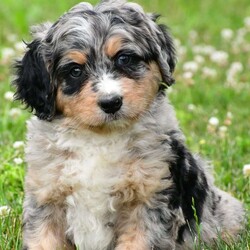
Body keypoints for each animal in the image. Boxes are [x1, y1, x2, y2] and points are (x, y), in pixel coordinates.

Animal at [13, 0, 244, 250]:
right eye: (75, 70)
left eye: (124, 58)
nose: (111, 102)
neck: (99, 139)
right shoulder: (45, 196)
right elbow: (43, 239)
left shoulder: (150, 198)